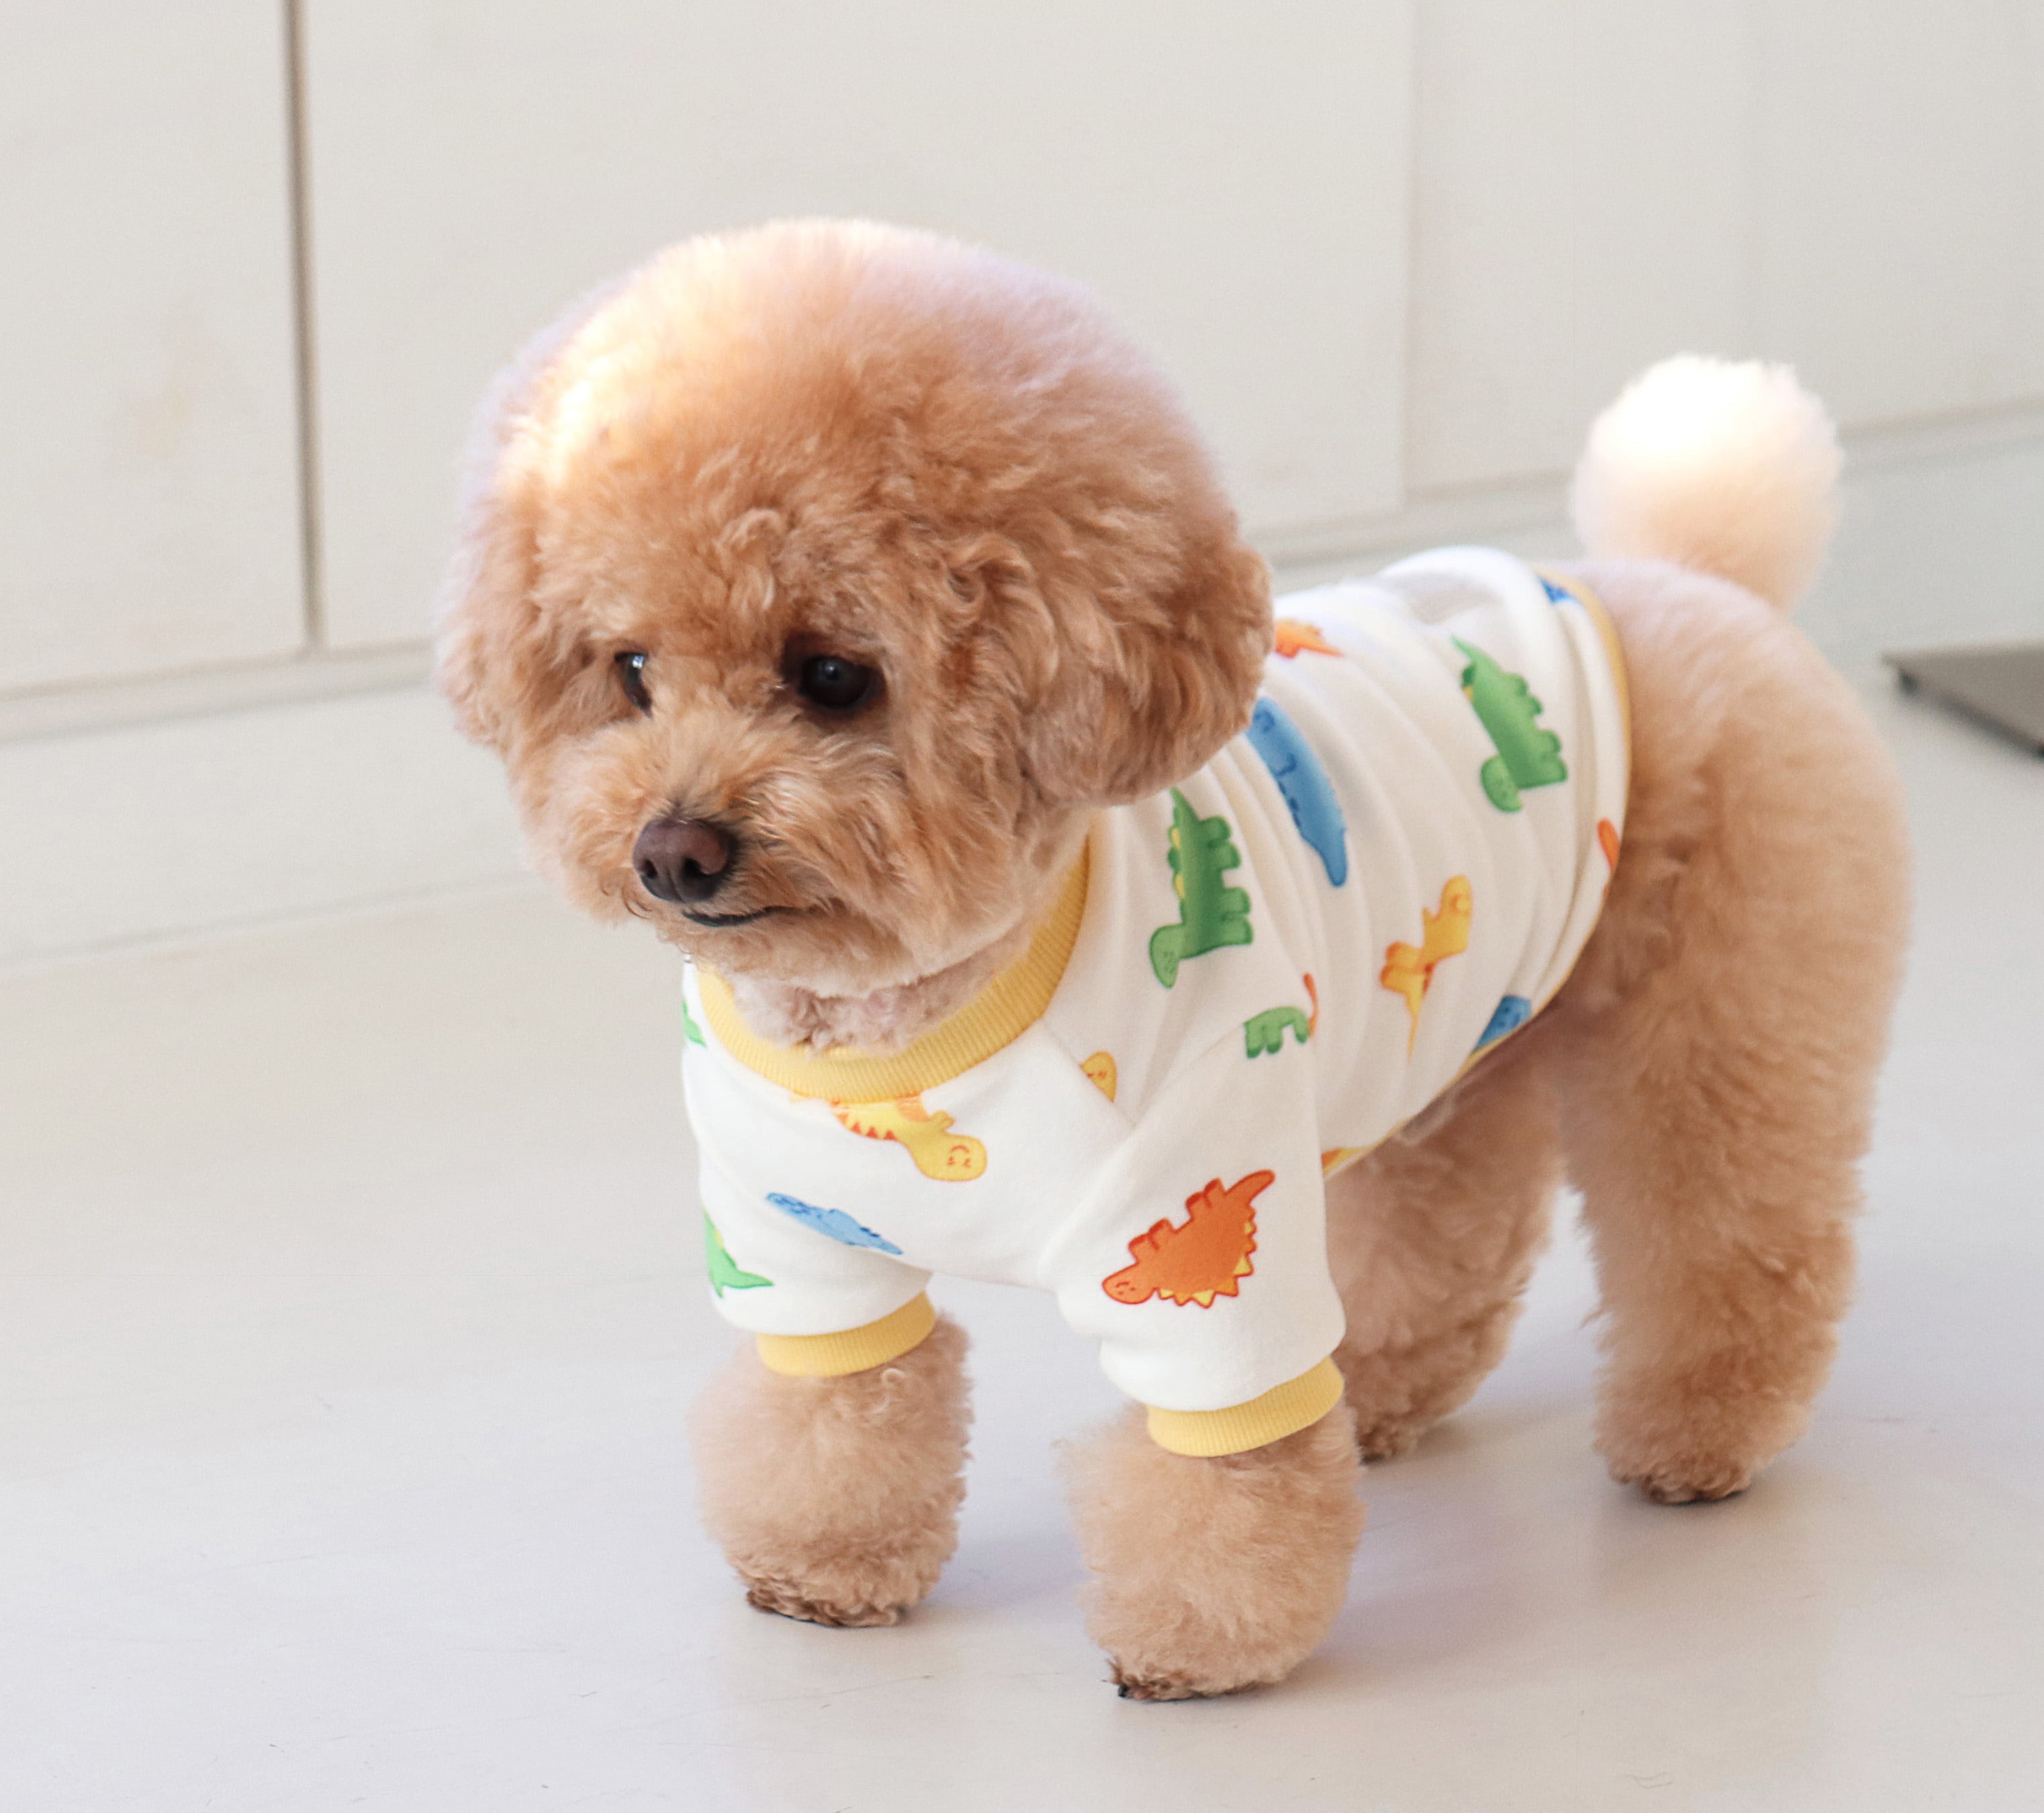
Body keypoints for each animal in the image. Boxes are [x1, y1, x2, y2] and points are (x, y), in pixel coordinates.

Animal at [437, 220, 1909, 1699]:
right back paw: (1382, 1393)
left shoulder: (1200, 1230)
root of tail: (1682, 579)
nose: (672, 852)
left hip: (1727, 1016)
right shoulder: (795, 1245)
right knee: (1454, 1215)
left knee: (1733, 1240)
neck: (912, 1021)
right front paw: (826, 1567)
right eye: (629, 671)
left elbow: (1223, 1476)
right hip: (1453, 1039)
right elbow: (837, 1415)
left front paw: (1198, 1642)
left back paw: (1696, 1439)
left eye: (833, 676)